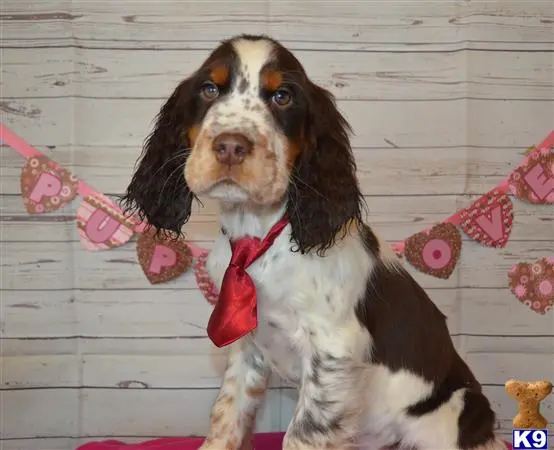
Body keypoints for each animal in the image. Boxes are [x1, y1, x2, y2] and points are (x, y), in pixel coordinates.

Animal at [121, 34, 504, 450]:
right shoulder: (248, 346)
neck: (261, 237)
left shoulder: (333, 351)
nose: (230, 146)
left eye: (282, 96)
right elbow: (227, 414)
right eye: (209, 89)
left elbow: (302, 433)